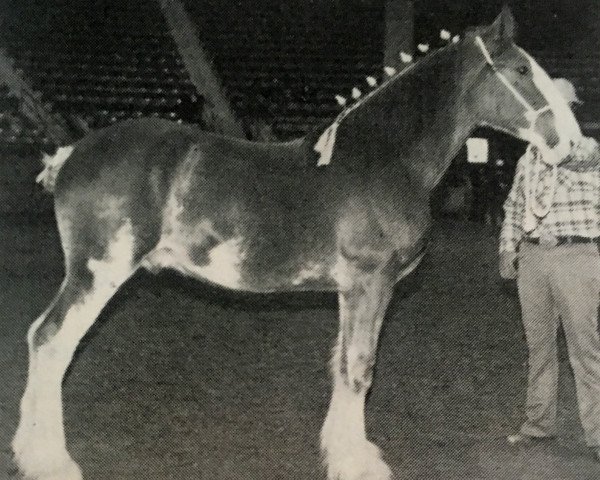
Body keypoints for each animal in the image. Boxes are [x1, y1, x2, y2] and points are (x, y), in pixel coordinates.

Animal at [12, 7, 580, 480]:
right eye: (523, 71)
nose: (573, 143)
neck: (382, 157)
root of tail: (71, 154)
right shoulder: (371, 282)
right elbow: (359, 368)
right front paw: (359, 465)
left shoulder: (352, 290)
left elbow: (343, 364)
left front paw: (343, 452)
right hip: (98, 272)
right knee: (51, 341)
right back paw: (50, 462)